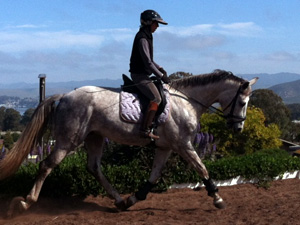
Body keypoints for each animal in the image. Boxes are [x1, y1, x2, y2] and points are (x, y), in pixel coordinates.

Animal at [0, 69, 258, 216]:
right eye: (242, 102)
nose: (238, 128)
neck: (186, 101)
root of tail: (64, 96)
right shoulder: (183, 144)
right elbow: (202, 168)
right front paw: (218, 198)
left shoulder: (165, 147)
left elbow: (153, 178)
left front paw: (134, 199)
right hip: (69, 139)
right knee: (47, 165)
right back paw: (26, 203)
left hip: (94, 137)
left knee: (94, 167)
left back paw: (119, 200)